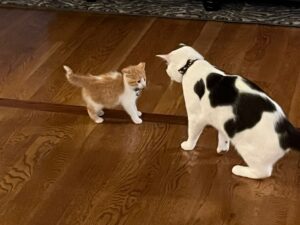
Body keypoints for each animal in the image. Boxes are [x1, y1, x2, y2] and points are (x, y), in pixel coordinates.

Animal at [157, 44, 300, 180]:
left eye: (167, 67)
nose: (166, 71)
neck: (192, 63)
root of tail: (288, 130)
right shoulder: (223, 119)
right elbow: (222, 134)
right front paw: (222, 148)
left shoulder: (195, 116)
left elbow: (192, 133)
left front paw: (188, 145)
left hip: (248, 151)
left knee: (263, 173)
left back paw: (238, 169)